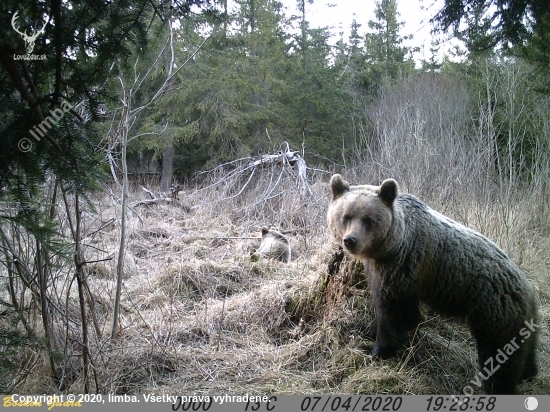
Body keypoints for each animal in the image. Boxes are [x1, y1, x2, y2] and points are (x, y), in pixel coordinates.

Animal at [328, 173, 540, 392]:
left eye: (369, 219)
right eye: (346, 217)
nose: (350, 240)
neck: (389, 246)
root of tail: (527, 287)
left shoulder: (403, 265)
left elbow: (396, 310)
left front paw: (378, 350)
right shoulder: (378, 267)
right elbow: (381, 304)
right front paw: (367, 332)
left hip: (493, 311)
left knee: (499, 354)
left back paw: (497, 386)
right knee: (526, 348)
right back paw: (529, 373)